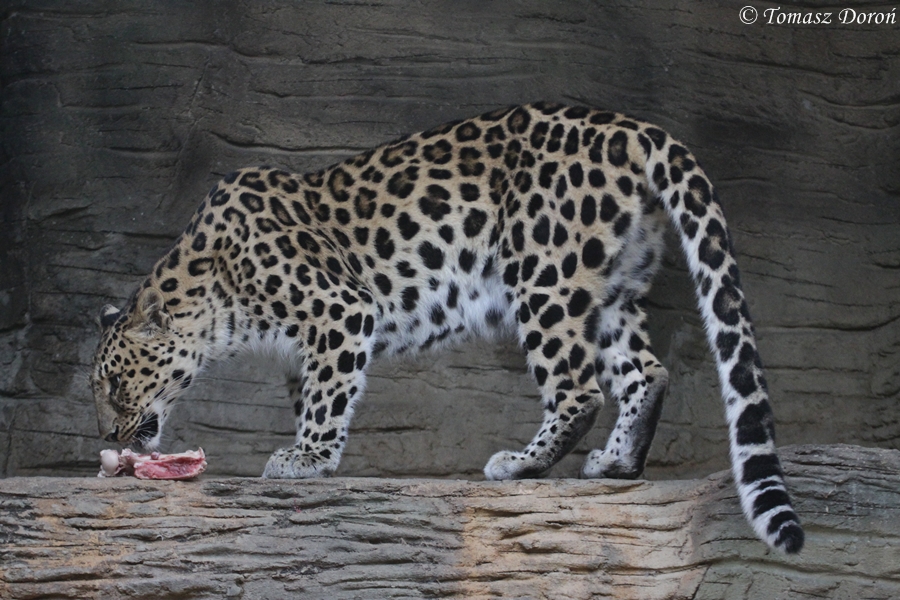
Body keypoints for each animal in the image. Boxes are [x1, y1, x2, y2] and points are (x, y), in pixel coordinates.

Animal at [90, 103, 803, 553]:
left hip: (543, 276)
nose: (107, 438)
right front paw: (313, 451)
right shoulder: (305, 345)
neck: (211, 297)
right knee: (645, 373)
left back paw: (521, 464)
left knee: (578, 390)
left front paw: (308, 458)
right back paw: (617, 463)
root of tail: (629, 127)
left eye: (117, 387)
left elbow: (329, 394)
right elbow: (315, 390)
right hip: (608, 292)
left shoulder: (340, 308)